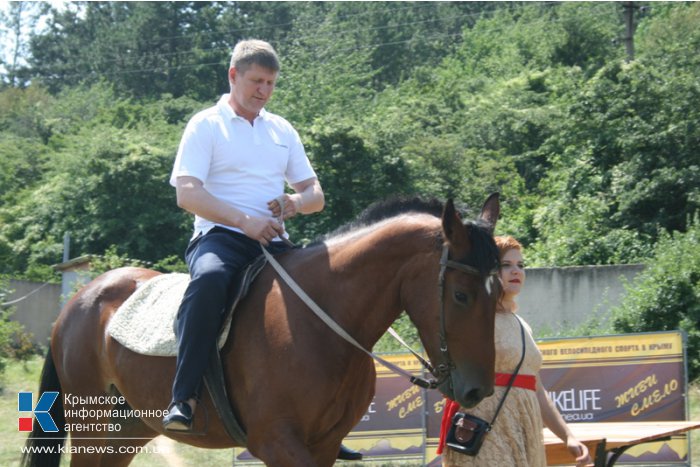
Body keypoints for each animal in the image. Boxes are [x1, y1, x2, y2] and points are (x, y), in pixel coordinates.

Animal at [23, 195, 504, 467]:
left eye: (499, 291)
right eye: (461, 295)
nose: (478, 390)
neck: (321, 323)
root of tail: (81, 300)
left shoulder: (325, 445)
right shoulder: (276, 443)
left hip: (127, 430)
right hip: (90, 423)